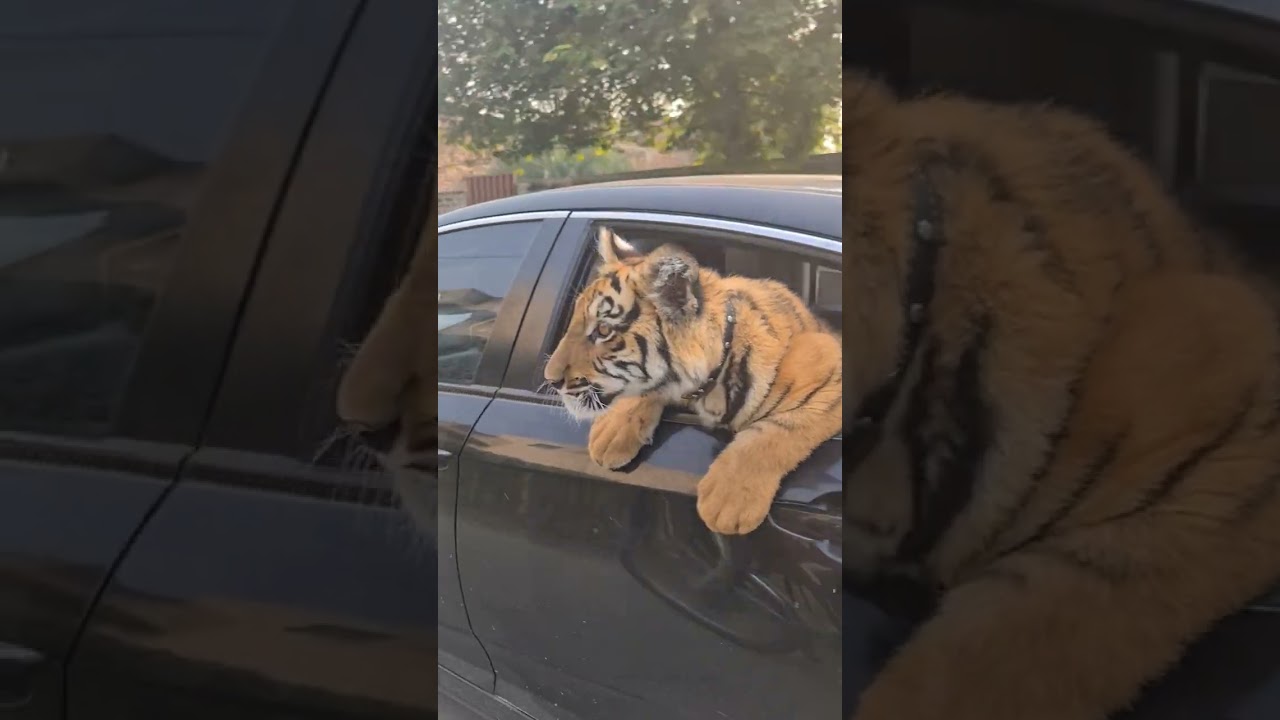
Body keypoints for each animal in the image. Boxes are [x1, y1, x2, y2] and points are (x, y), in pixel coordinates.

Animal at [543, 226, 842, 535]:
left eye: (603, 330)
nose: (551, 379)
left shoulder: (830, 362)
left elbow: (780, 428)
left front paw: (728, 499)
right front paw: (610, 434)